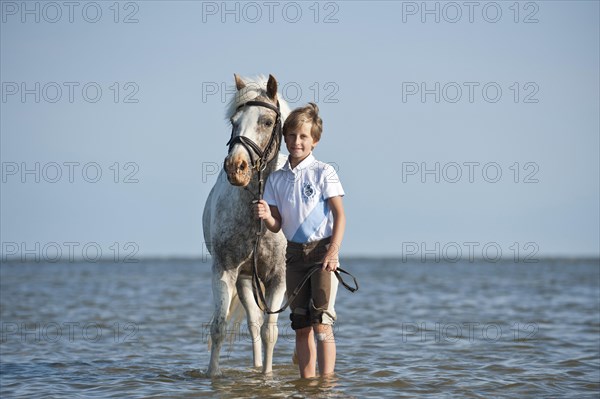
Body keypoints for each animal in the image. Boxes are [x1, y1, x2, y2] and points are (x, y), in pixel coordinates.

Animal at [203, 75, 292, 378]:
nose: (235, 167)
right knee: (253, 322)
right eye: (234, 121)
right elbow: (219, 327)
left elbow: (270, 332)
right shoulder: (225, 270)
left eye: (266, 121)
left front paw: (267, 377)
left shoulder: (278, 278)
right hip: (244, 280)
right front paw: (213, 376)